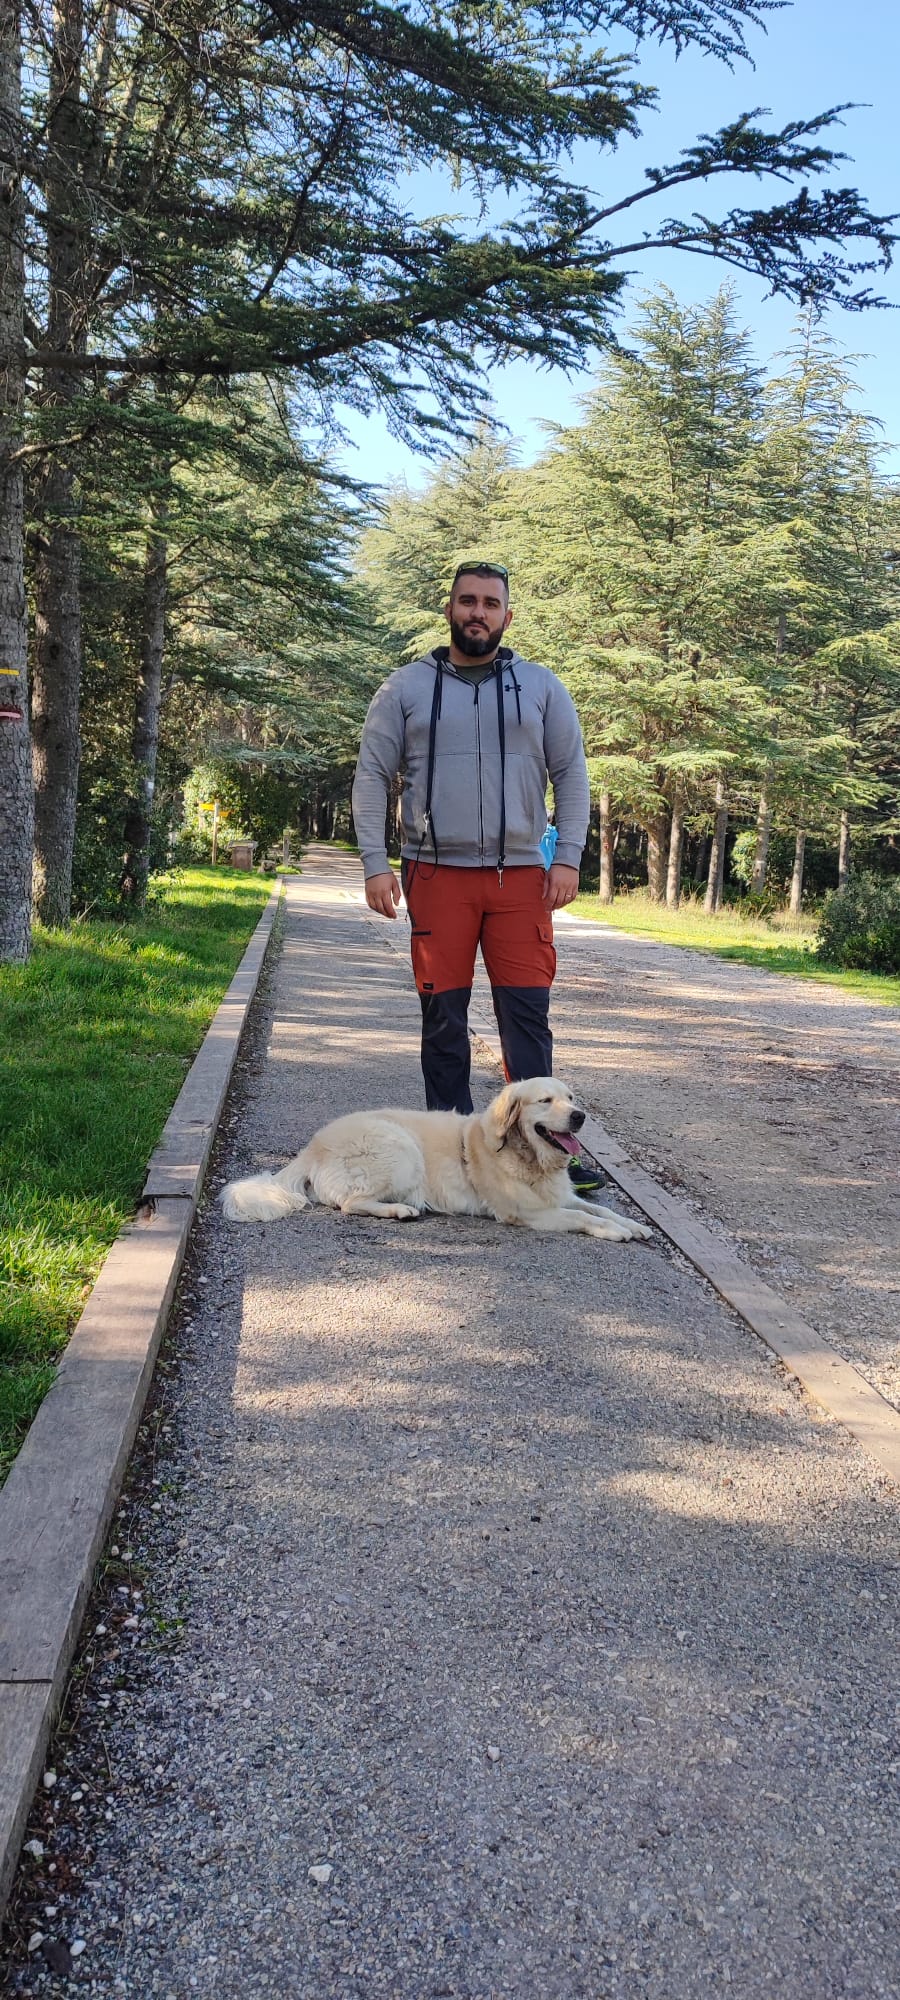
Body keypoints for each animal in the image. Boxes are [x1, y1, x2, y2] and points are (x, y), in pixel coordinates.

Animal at [221, 1077, 651, 1243]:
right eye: (545, 1101)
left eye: (571, 1098)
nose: (580, 1117)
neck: (526, 1155)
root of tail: (311, 1146)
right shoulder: (529, 1213)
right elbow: (583, 1217)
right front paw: (615, 1232)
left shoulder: (560, 1196)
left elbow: (600, 1208)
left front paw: (633, 1225)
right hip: (401, 1148)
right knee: (350, 1203)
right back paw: (399, 1210)